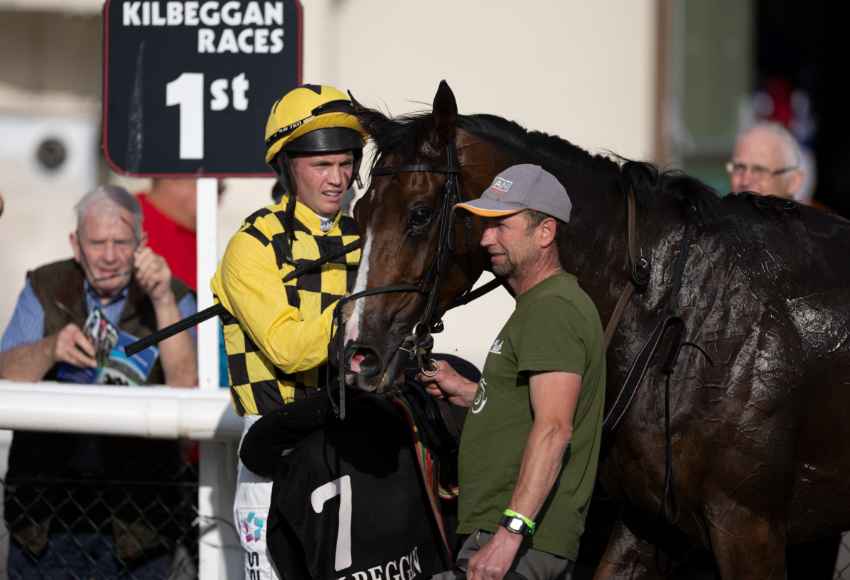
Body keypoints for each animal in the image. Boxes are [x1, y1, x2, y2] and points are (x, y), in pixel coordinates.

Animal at [336, 79, 848, 576]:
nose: (359, 353)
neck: (687, 318)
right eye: (359, 215)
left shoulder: (747, 528)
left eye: (420, 214)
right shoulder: (650, 520)